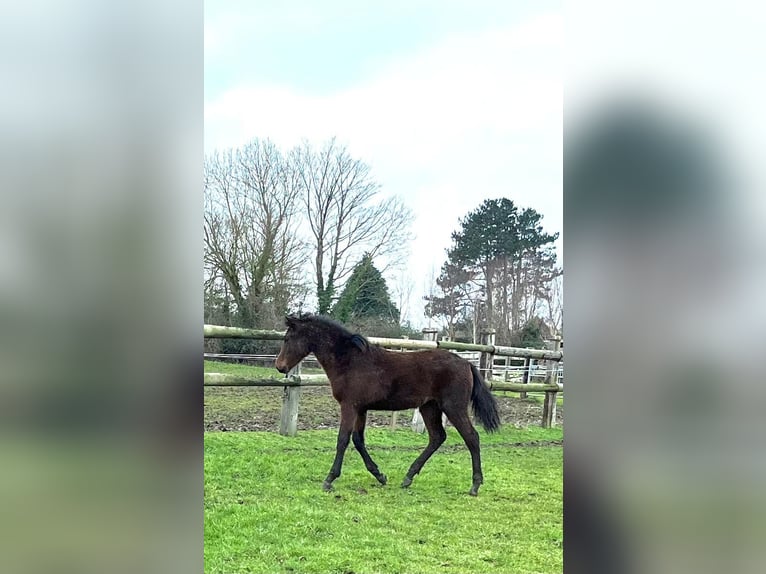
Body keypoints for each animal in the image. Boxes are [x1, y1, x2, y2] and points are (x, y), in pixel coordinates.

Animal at [276, 312, 504, 498]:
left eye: (288, 338)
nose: (280, 367)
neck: (350, 361)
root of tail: (467, 363)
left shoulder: (349, 406)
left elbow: (343, 440)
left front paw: (329, 479)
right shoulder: (361, 409)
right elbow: (358, 440)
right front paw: (380, 475)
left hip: (453, 407)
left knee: (471, 437)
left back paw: (475, 485)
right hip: (429, 407)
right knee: (437, 437)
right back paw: (408, 477)